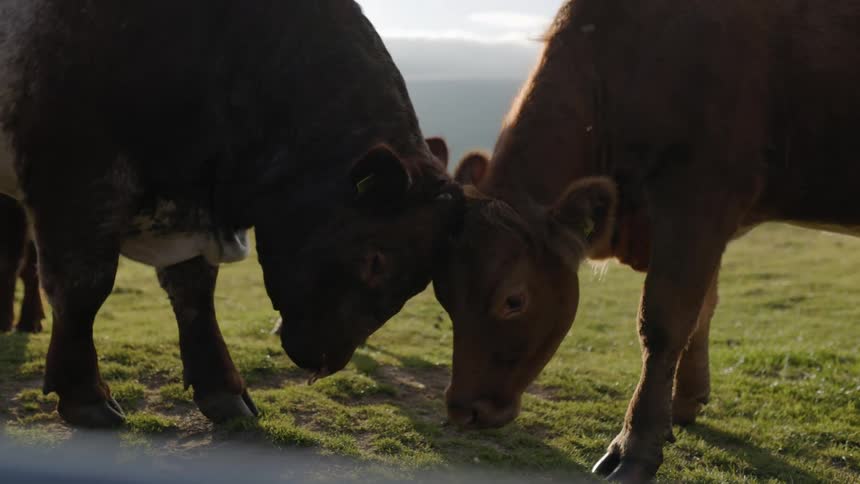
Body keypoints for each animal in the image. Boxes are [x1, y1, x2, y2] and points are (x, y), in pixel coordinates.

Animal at [432, 0, 860, 481]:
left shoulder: (697, 201)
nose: (463, 410)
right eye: (443, 296)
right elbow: (702, 311)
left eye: (513, 300)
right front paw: (683, 403)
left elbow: (663, 323)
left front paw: (635, 446)